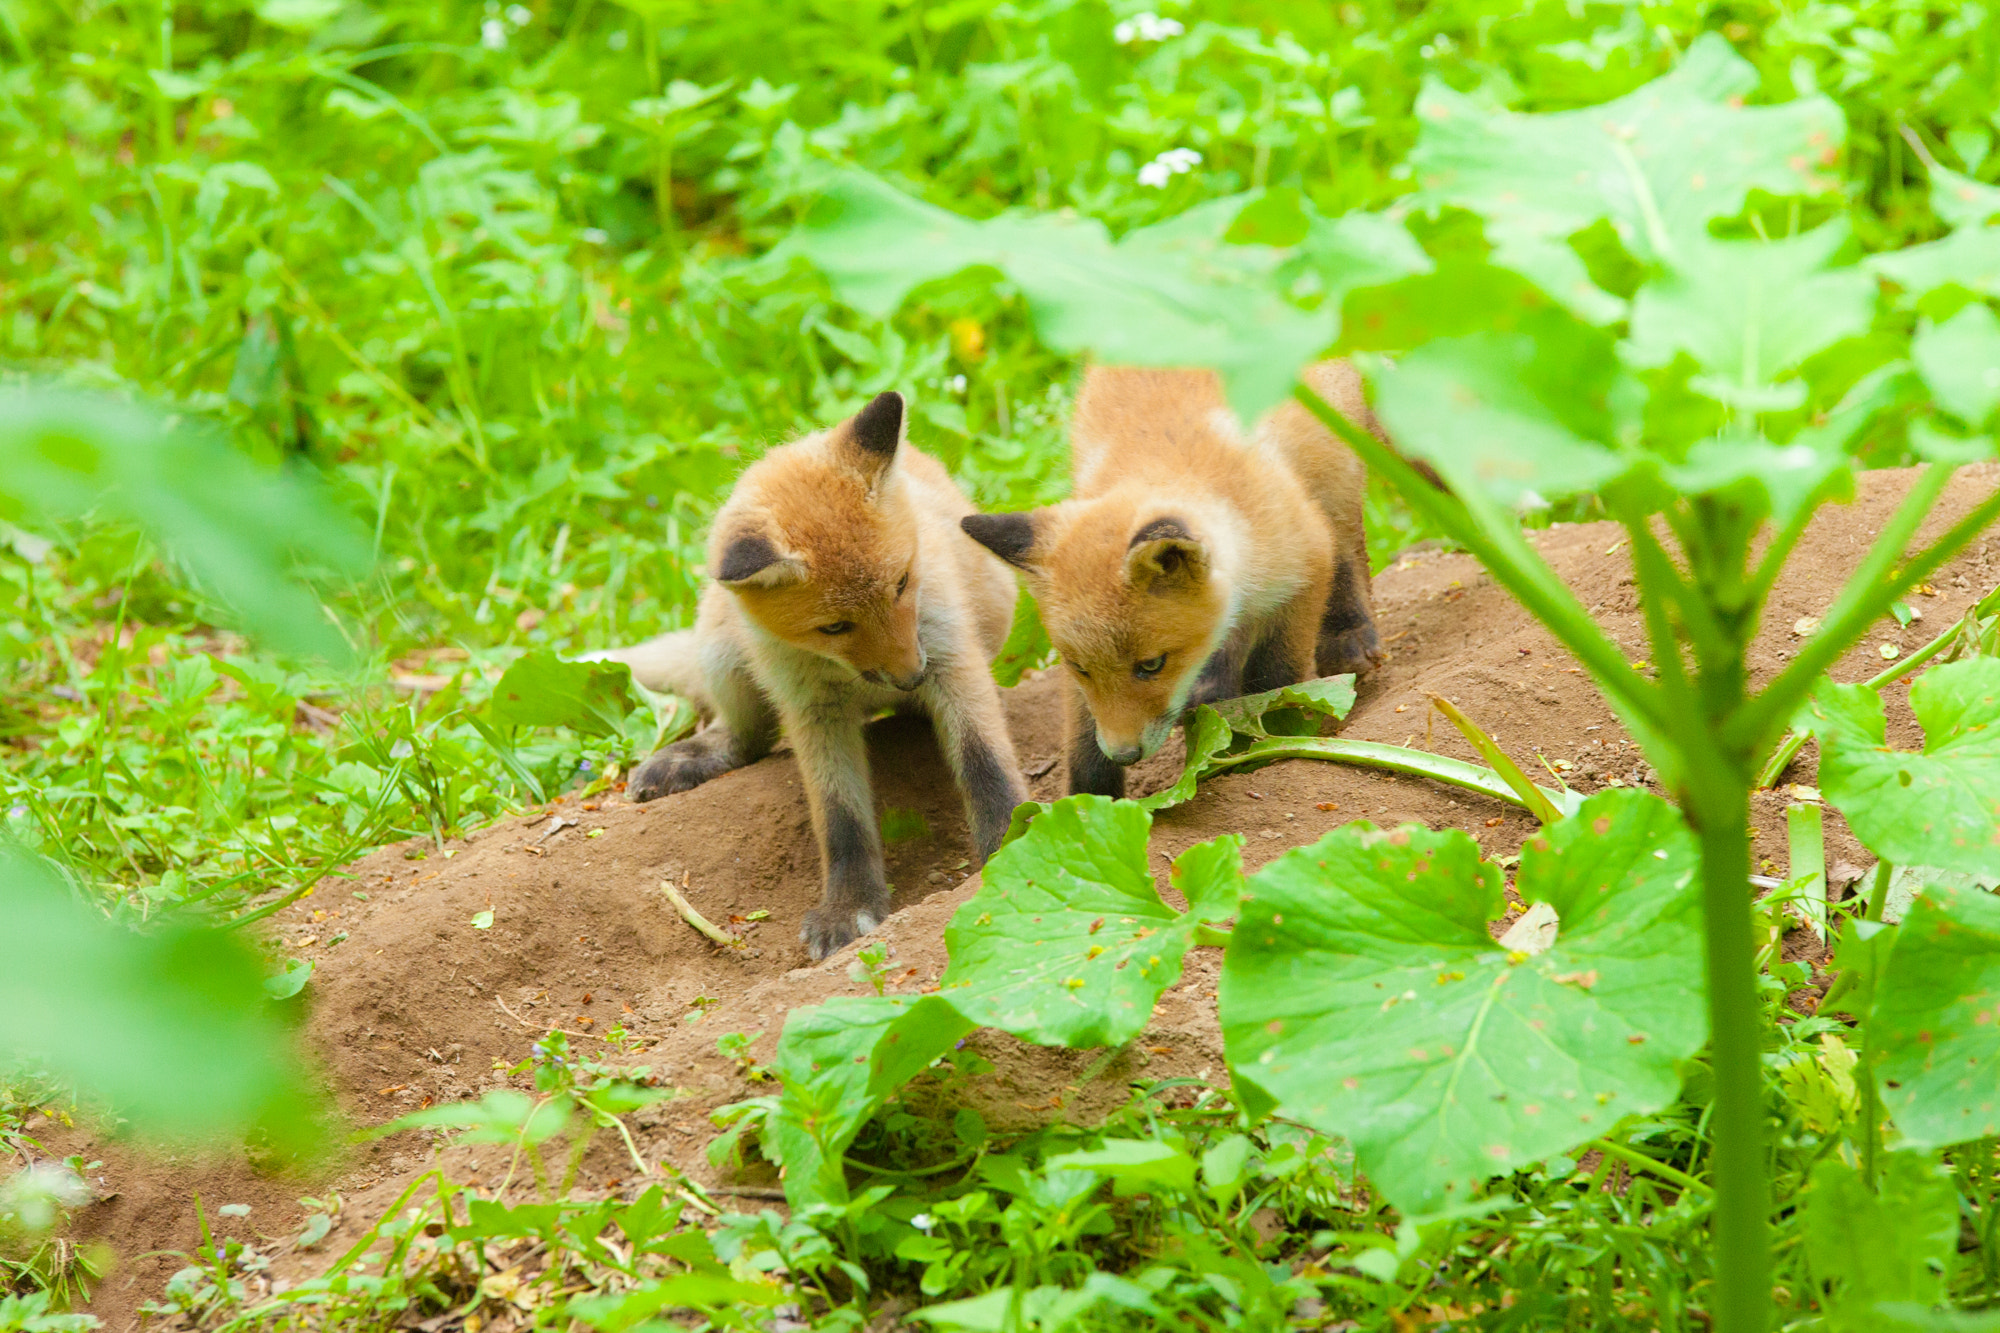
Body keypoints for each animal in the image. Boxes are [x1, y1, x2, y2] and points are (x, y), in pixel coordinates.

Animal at [592, 392, 1030, 959]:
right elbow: (840, 819)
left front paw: (1013, 844)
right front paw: (849, 907)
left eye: (902, 583)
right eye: (834, 626)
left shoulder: (951, 656)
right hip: (721, 649)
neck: (851, 678)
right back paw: (697, 753)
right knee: (747, 737)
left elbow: (985, 766)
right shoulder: (810, 708)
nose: (911, 677)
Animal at [960, 361, 1382, 799]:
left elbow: (1273, 681)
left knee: (1348, 545)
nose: (1124, 754)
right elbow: (1084, 742)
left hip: (1336, 469)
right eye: (1080, 668)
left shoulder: (1303, 565)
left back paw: (1349, 633)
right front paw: (1088, 804)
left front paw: (1266, 741)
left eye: (1151, 665)